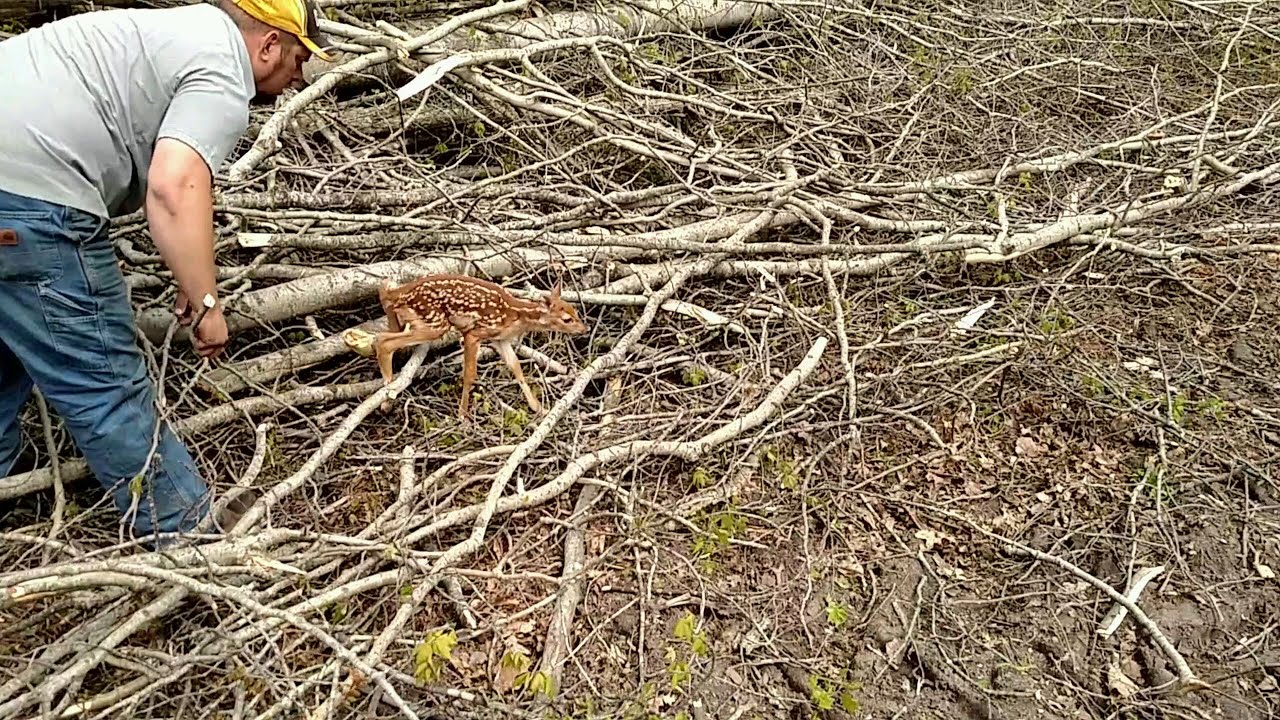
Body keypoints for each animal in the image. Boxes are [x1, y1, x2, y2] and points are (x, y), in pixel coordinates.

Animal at [369, 273, 588, 420]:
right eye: (567, 319)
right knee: (382, 340)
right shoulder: (474, 333)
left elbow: (516, 368)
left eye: (574, 310)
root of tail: (398, 294)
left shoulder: (501, 339)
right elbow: (470, 374)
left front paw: (539, 408)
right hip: (434, 322)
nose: (584, 329)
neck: (514, 316)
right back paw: (386, 402)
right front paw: (463, 416)